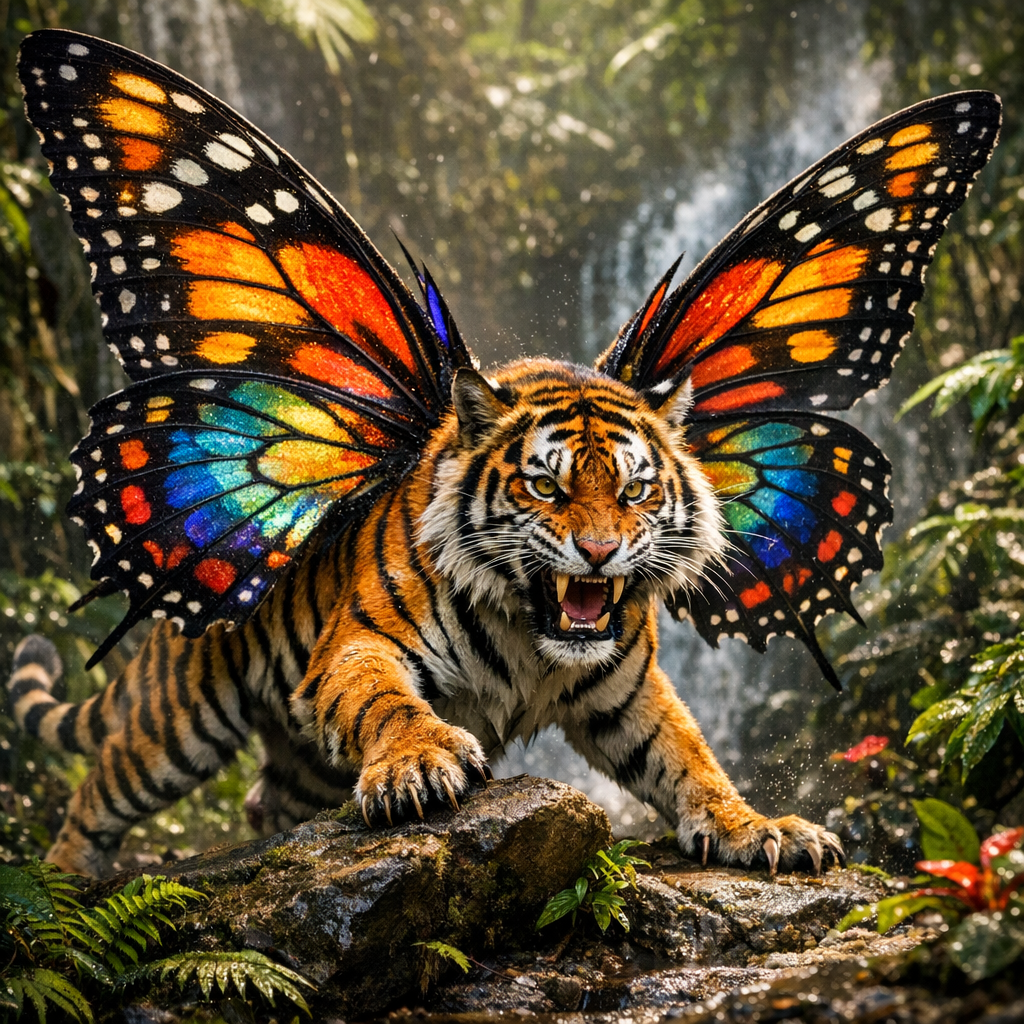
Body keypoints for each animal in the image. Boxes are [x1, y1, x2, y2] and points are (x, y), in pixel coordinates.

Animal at [7, 359, 845, 878]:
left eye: (635, 490)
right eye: (546, 486)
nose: (600, 552)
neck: (533, 634)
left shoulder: (628, 697)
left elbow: (690, 762)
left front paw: (759, 830)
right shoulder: (362, 643)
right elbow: (387, 703)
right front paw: (417, 762)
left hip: (303, 763)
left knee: (264, 798)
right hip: (179, 724)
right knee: (97, 792)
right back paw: (64, 884)